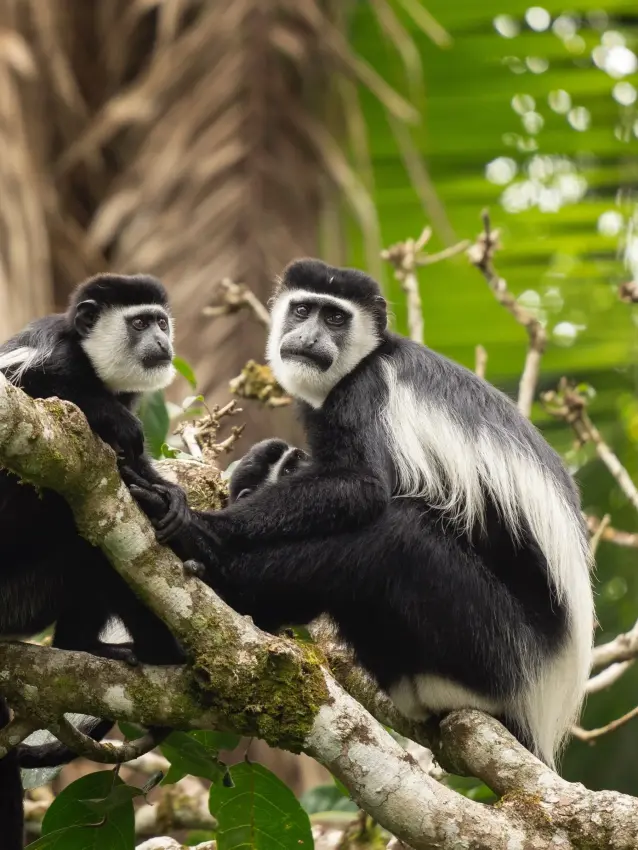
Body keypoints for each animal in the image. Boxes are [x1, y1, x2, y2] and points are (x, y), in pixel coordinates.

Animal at [0, 273, 189, 848]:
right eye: (139, 322)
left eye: (161, 321)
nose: (162, 341)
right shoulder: (50, 353)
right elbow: (39, 390)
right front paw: (114, 422)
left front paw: (170, 497)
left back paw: (95, 648)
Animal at [125, 258, 594, 769]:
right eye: (303, 310)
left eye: (335, 318)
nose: (309, 337)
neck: (369, 357)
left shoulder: (365, 393)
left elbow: (362, 486)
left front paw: (202, 527)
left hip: (499, 649)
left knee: (396, 537)